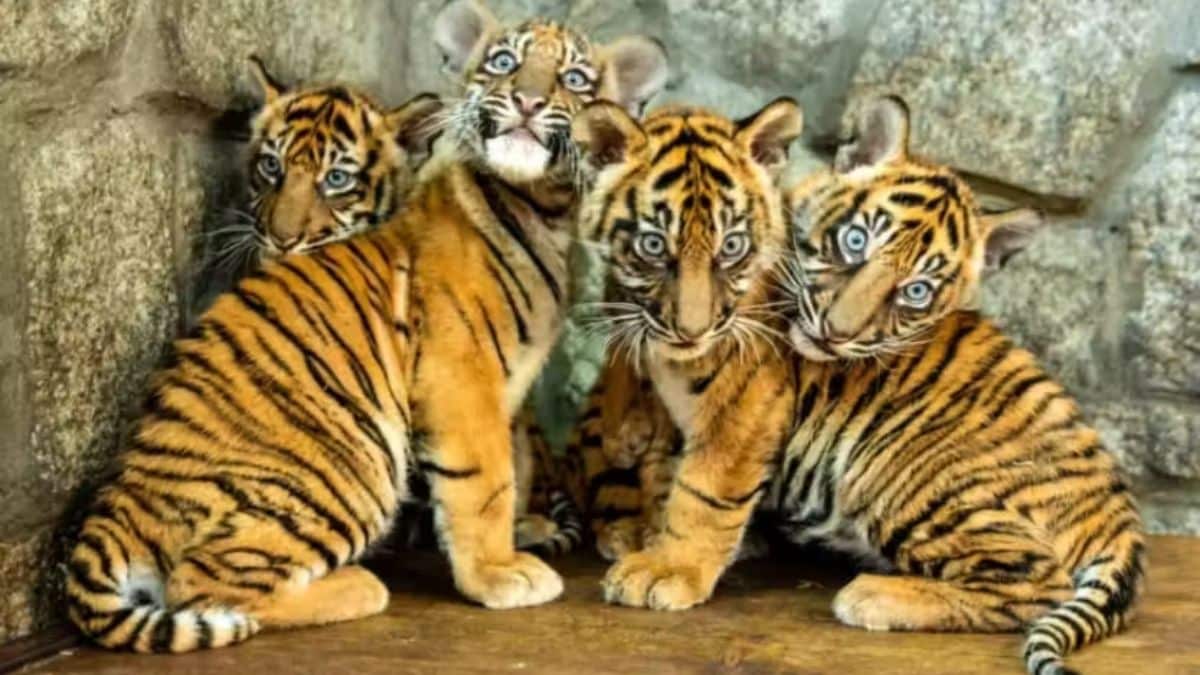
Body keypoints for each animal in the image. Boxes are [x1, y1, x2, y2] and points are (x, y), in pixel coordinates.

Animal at [63, 3, 668, 652]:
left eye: (574, 79)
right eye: (505, 62)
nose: (527, 100)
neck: (541, 210)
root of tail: (121, 501)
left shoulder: (509, 389)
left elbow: (519, 460)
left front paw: (523, 530)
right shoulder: (461, 378)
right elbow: (484, 481)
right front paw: (499, 573)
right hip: (352, 468)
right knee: (203, 584)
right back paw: (360, 585)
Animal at [581, 94, 1144, 675]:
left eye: (916, 292)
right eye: (854, 242)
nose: (836, 333)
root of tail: (1120, 520)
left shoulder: (746, 406)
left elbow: (703, 492)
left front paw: (668, 568)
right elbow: (655, 456)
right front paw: (642, 510)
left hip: (903, 473)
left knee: (1039, 582)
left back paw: (874, 594)